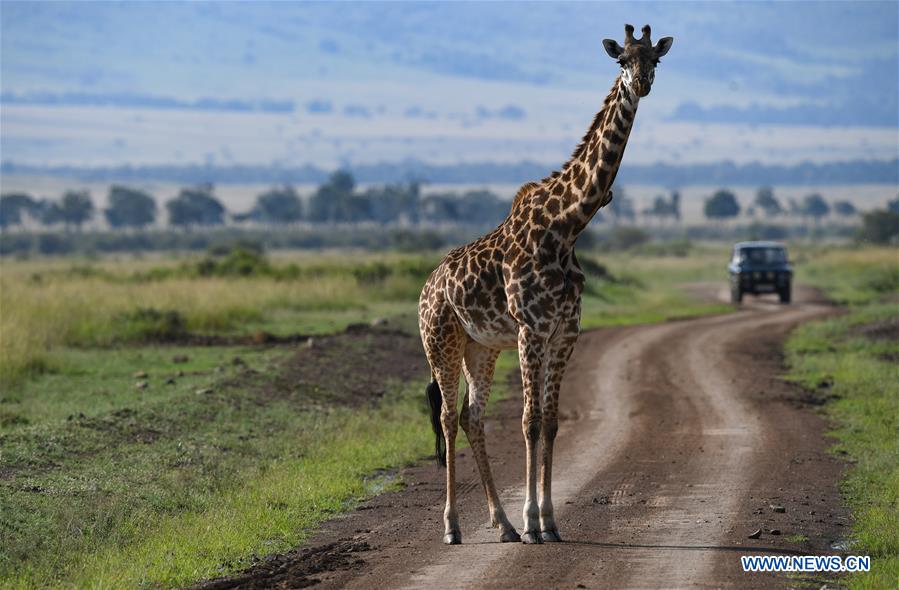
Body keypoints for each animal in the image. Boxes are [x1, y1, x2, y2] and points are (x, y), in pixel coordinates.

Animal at [418, 25, 672, 548]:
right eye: (622, 60)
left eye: (655, 59)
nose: (641, 84)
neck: (567, 227)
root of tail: (425, 289)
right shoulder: (531, 331)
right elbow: (530, 421)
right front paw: (535, 522)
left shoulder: (564, 333)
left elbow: (552, 423)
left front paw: (549, 522)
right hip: (441, 343)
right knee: (449, 419)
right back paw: (453, 526)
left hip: (480, 348)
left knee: (472, 418)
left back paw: (502, 524)